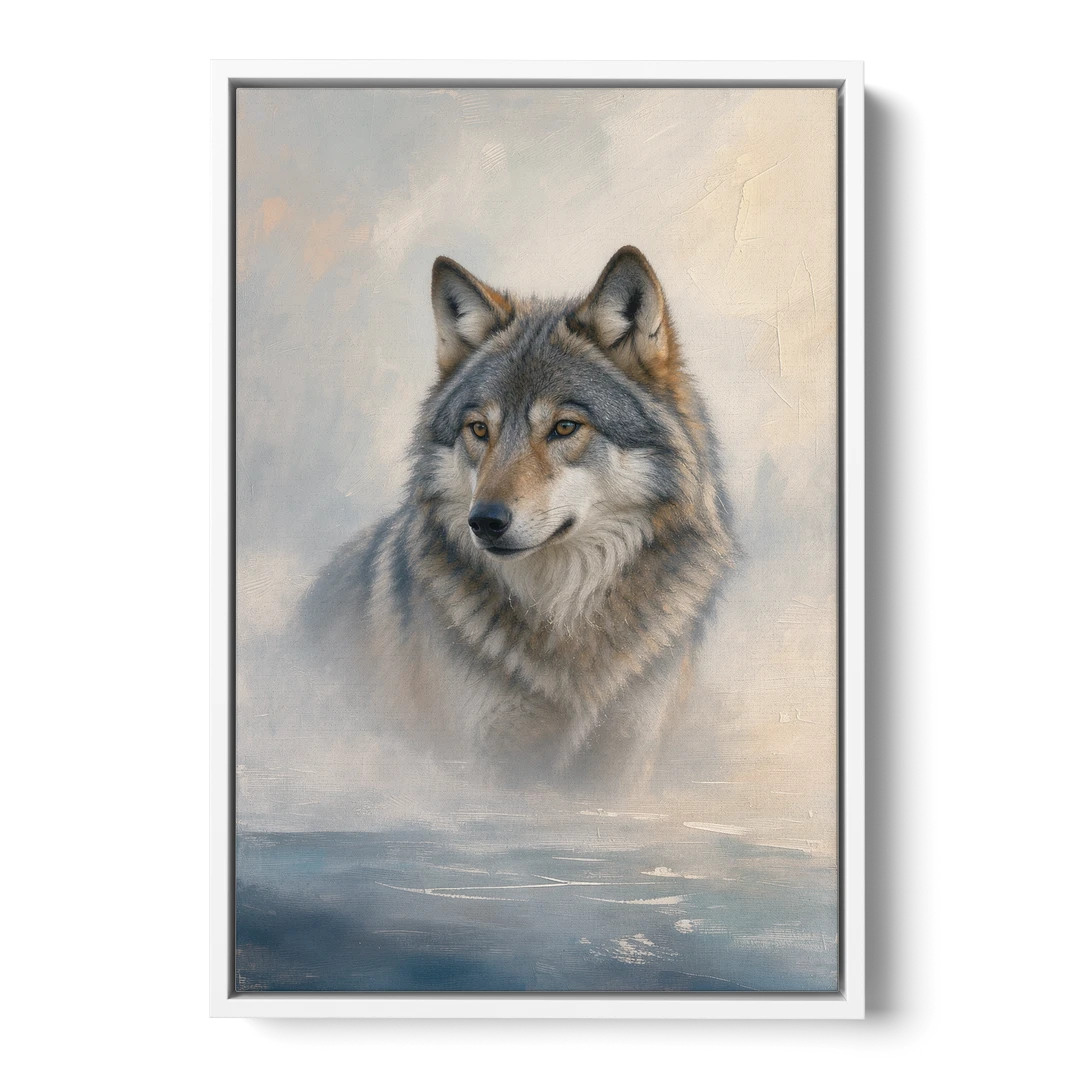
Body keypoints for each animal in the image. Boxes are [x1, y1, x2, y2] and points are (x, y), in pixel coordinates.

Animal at [301, 247, 734, 785]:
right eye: (479, 429)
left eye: (565, 427)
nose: (484, 521)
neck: (563, 612)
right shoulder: (479, 759)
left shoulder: (625, 762)